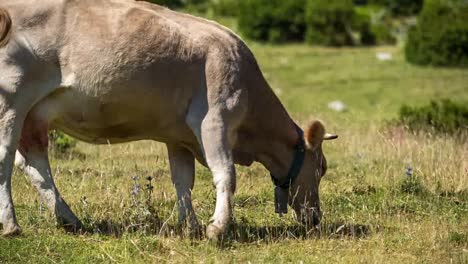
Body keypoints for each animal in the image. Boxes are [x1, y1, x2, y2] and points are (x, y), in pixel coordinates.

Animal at [0, 0, 336, 239]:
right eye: (322, 167)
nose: (315, 218)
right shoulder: (215, 118)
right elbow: (225, 173)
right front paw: (217, 228)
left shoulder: (179, 137)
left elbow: (183, 181)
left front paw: (191, 227)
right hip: (11, 99)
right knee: (5, 159)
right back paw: (12, 226)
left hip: (33, 115)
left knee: (34, 164)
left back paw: (70, 220)